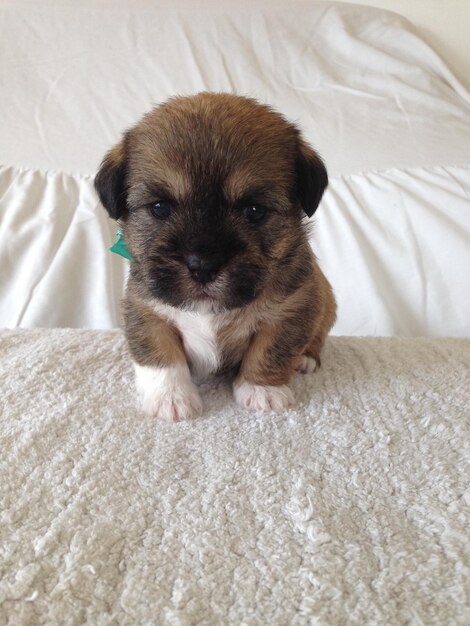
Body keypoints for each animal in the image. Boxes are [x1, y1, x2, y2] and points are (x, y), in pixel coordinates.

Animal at [94, 92, 334, 420]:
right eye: (159, 207)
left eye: (254, 210)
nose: (203, 266)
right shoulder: (145, 310)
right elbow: (160, 355)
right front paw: (171, 398)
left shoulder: (294, 307)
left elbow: (271, 350)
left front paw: (263, 390)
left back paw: (306, 359)